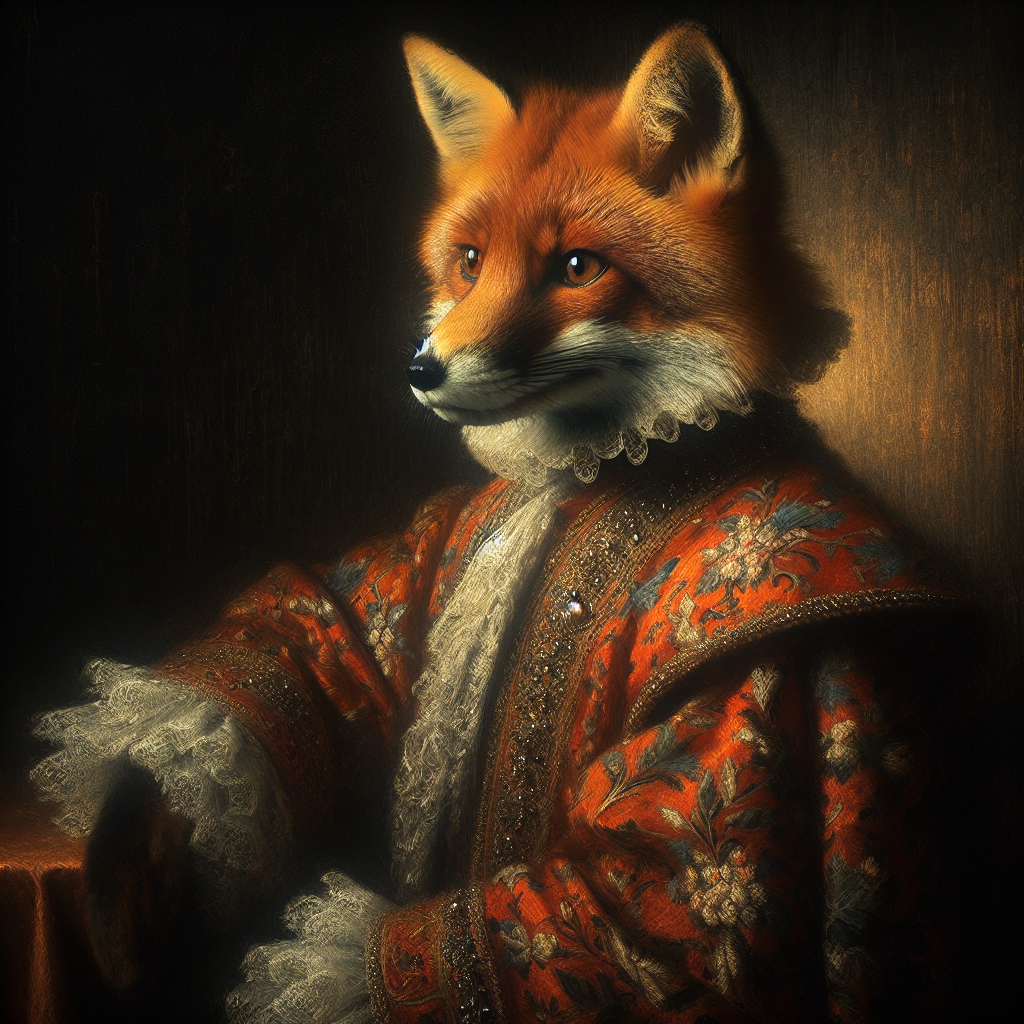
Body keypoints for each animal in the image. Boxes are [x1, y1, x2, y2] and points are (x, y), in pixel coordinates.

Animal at [31, 22, 957, 1024]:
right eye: (470, 261)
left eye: (578, 267)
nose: (421, 369)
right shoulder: (419, 553)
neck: (595, 477)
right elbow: (312, 628)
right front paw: (135, 830)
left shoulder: (743, 727)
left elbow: (677, 918)